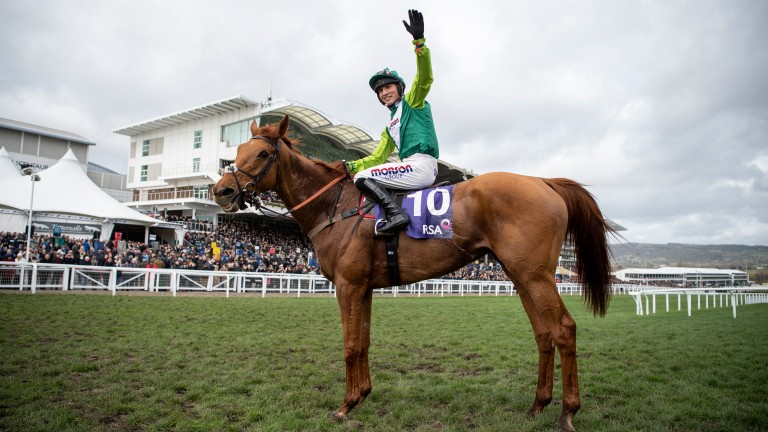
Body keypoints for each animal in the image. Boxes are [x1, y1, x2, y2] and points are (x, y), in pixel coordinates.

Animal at [213, 115, 616, 432]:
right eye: (237, 151)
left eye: (262, 154)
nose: (222, 191)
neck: (336, 207)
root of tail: (543, 181)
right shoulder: (364, 287)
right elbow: (364, 341)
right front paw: (362, 396)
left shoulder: (347, 285)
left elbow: (349, 345)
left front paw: (345, 406)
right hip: (521, 277)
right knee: (543, 333)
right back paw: (536, 406)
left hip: (536, 276)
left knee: (563, 329)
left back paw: (567, 413)